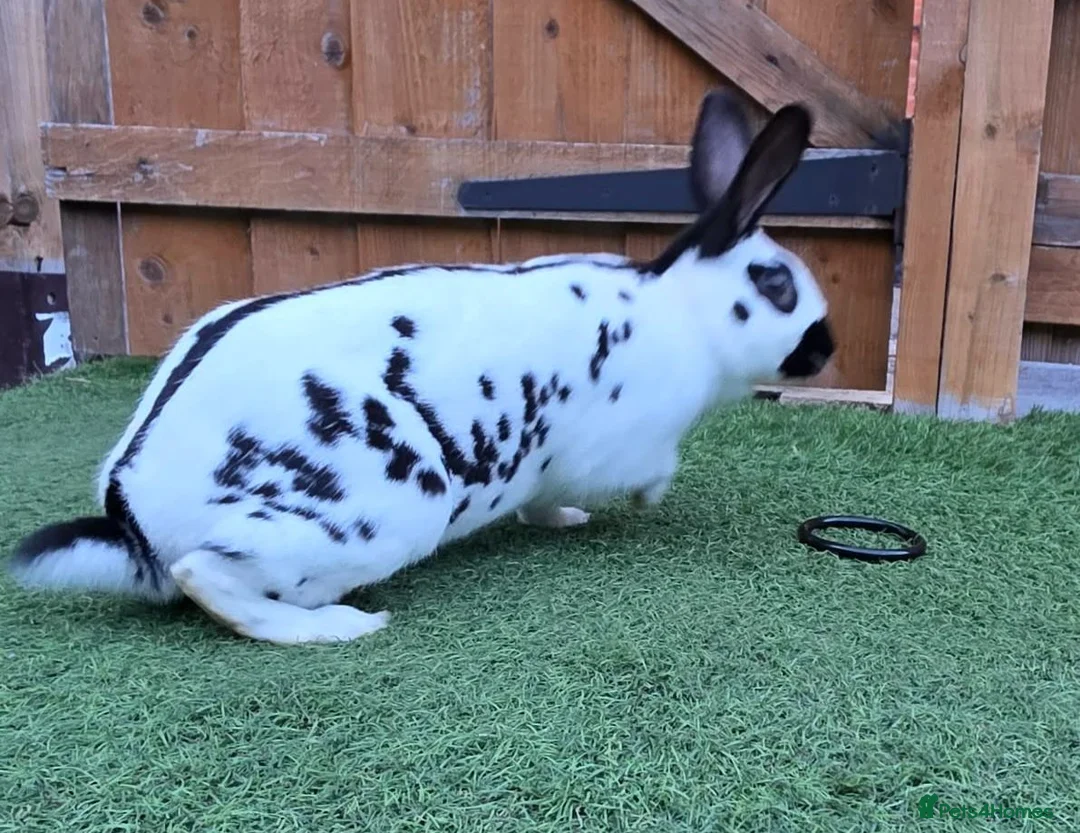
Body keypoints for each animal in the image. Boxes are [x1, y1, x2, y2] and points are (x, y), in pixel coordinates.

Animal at [7, 89, 835, 644]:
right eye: (777, 283)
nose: (825, 347)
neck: (681, 311)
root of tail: (133, 516)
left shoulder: (549, 467)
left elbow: (543, 499)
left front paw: (565, 519)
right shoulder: (627, 441)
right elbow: (653, 471)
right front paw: (644, 501)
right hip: (369, 521)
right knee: (208, 578)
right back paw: (342, 626)